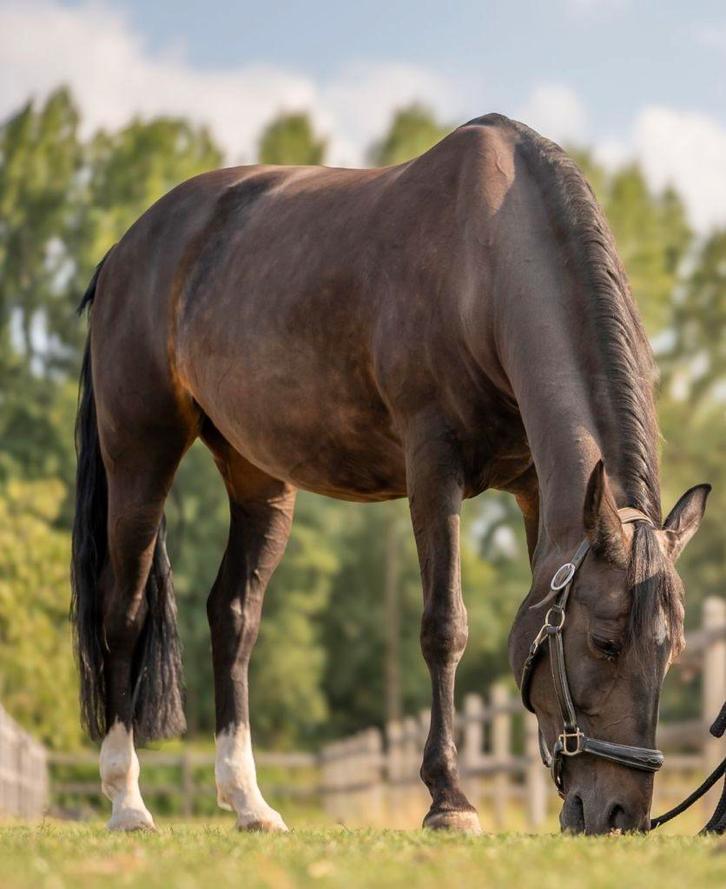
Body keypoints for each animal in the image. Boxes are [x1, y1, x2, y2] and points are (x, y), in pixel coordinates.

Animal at [71, 113, 709, 835]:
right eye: (604, 642)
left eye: (673, 650)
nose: (620, 814)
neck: (483, 259)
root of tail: (123, 251)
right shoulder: (433, 466)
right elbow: (444, 626)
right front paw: (450, 799)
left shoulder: (534, 489)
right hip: (140, 454)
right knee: (123, 612)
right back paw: (127, 800)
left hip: (258, 476)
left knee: (233, 615)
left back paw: (248, 801)